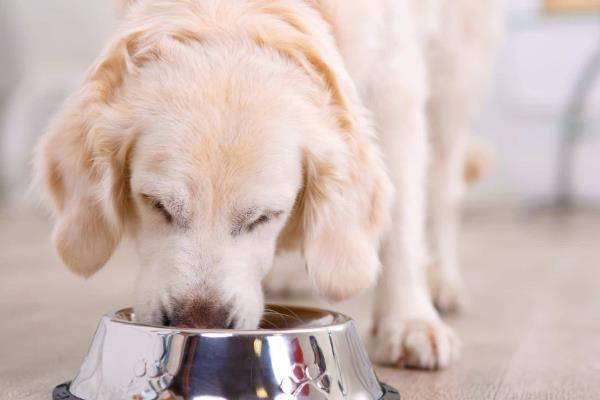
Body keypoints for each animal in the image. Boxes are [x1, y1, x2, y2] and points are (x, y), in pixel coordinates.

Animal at [34, 0, 502, 368]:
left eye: (264, 217)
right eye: (156, 204)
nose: (199, 324)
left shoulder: (395, 87)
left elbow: (402, 223)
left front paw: (408, 322)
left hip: (454, 75)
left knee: (443, 190)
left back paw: (441, 282)